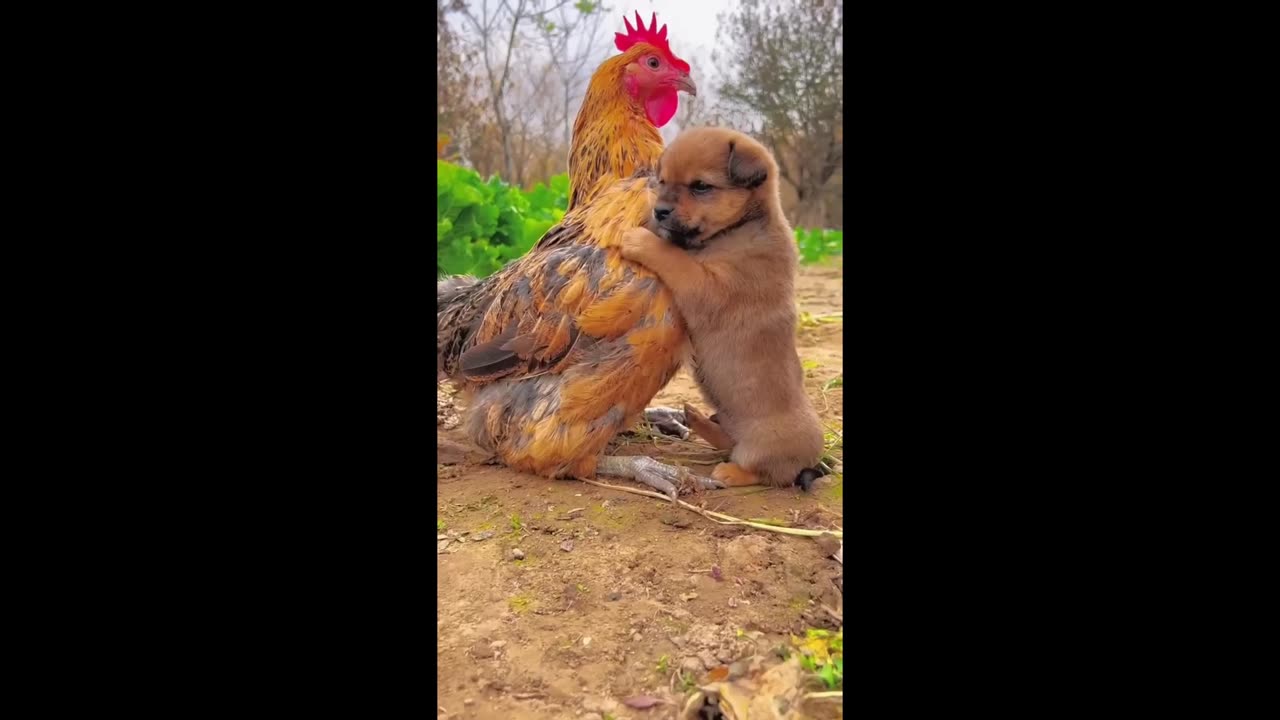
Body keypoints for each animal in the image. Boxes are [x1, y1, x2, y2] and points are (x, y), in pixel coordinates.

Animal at [624, 127, 824, 486]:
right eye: (662, 181)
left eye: (701, 186)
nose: (660, 210)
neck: (741, 227)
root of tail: (809, 463)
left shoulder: (708, 288)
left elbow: (672, 256)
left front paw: (641, 239)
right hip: (727, 419)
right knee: (726, 440)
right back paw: (696, 418)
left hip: (762, 447)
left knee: (760, 469)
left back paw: (730, 472)